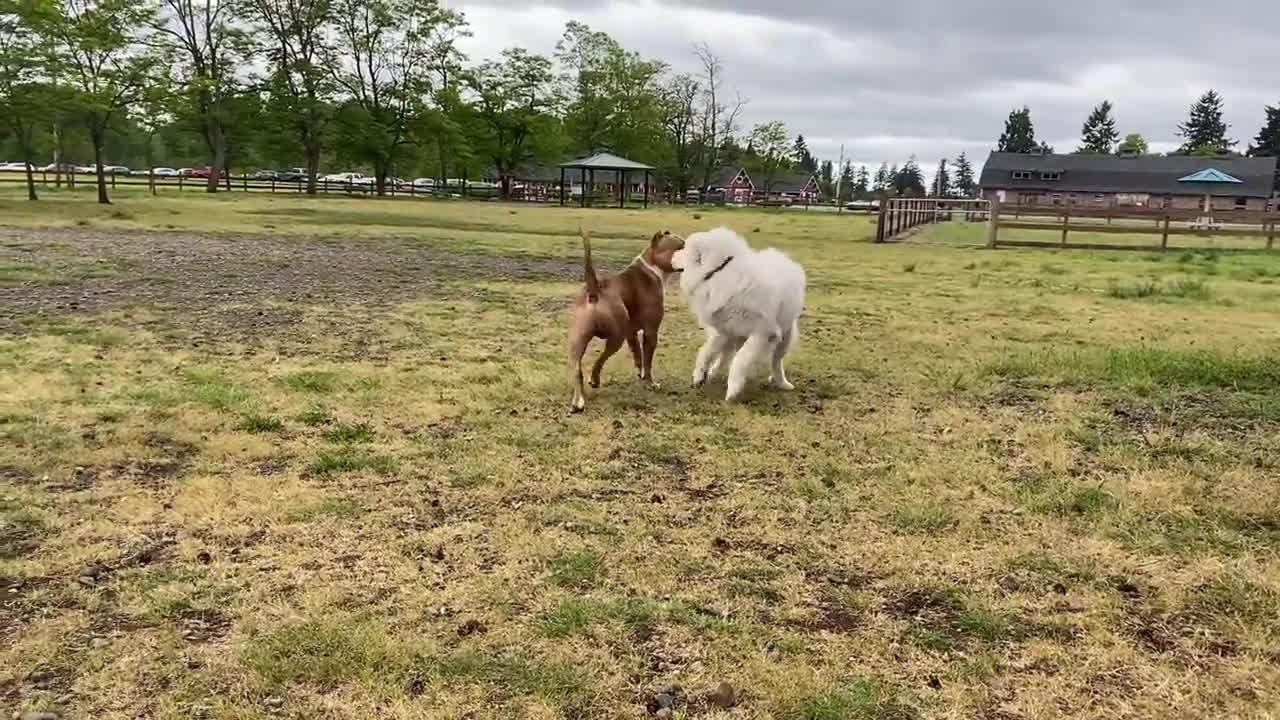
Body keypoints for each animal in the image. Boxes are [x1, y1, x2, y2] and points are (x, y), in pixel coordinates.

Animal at [570, 226, 686, 412]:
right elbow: (647, 361)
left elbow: (638, 354)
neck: (651, 267)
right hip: (616, 337)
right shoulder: (651, 331)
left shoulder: (631, 332)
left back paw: (578, 401)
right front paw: (650, 382)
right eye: (681, 247)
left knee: (577, 370)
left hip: (577, 339)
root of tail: (595, 289)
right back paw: (594, 381)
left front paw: (640, 374)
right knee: (600, 359)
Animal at [665, 226, 803, 399]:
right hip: (732, 335)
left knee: (776, 362)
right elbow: (705, 353)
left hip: (784, 338)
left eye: (683, 249)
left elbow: (740, 360)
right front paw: (699, 376)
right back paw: (711, 374)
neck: (720, 271)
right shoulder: (723, 331)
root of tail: (783, 258)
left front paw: (733, 389)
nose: (671, 257)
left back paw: (781, 383)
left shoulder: (761, 333)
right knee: (723, 357)